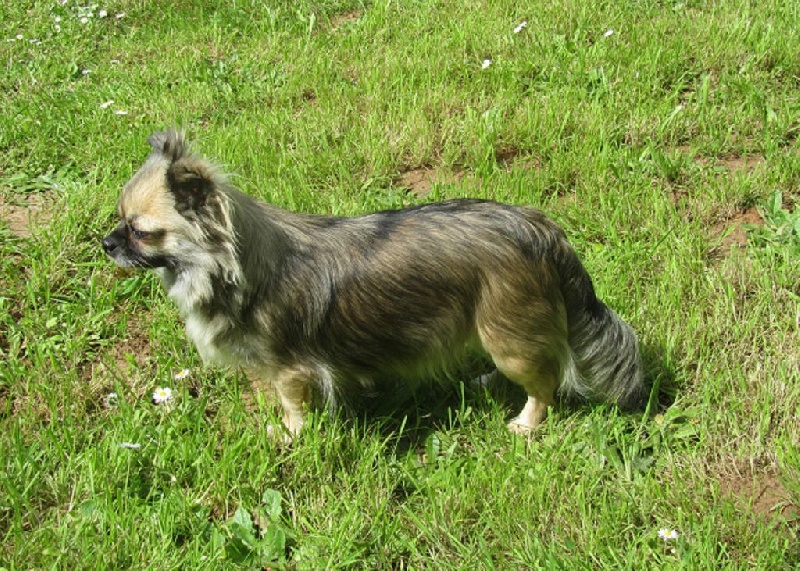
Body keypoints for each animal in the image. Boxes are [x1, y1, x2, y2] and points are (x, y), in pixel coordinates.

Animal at [104, 132, 644, 438]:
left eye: (140, 230)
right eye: (120, 221)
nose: (106, 242)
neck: (234, 266)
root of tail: (541, 229)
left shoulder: (289, 371)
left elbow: (292, 406)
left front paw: (290, 438)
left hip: (510, 336)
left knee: (546, 380)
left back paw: (526, 424)